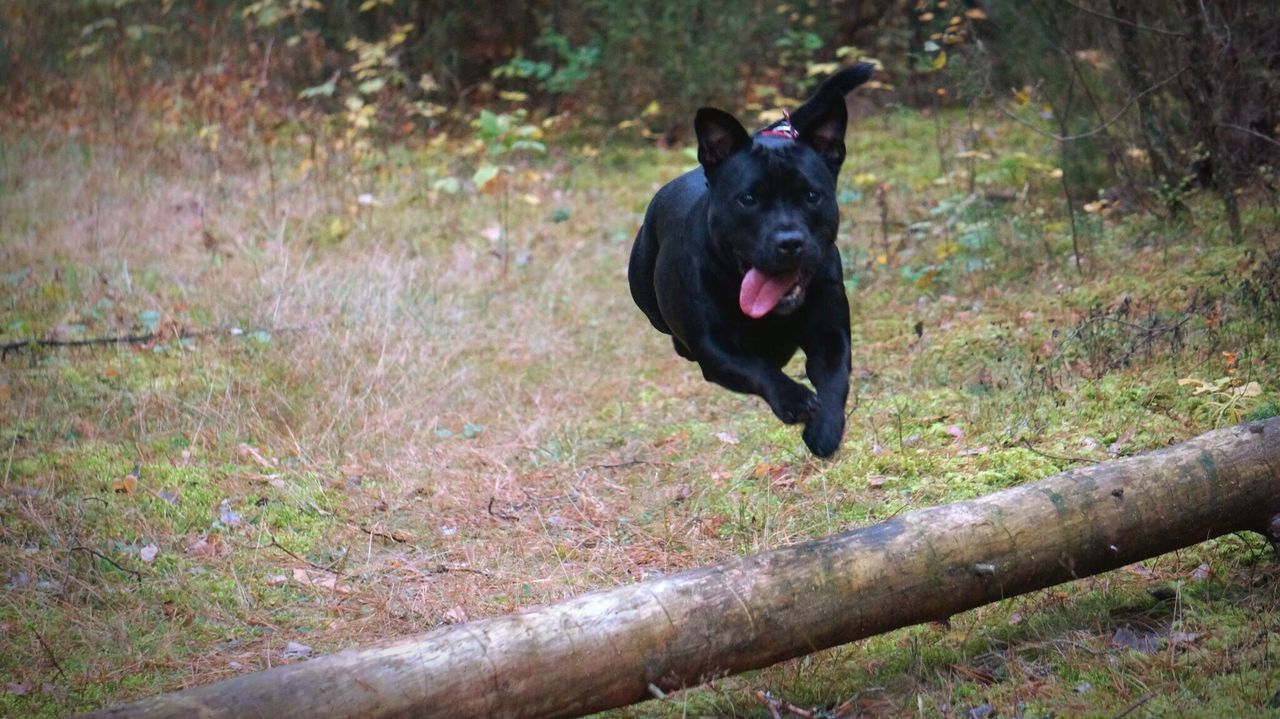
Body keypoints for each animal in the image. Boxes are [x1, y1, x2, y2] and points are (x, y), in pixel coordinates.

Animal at [627, 61, 875, 452]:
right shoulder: (714, 348)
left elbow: (835, 378)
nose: (789, 241)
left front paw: (824, 430)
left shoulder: (830, 333)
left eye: (812, 195)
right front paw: (794, 399)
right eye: (748, 199)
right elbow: (756, 368)